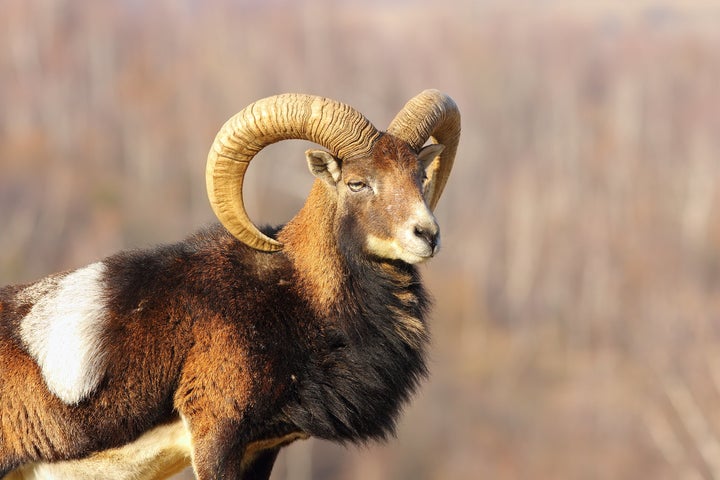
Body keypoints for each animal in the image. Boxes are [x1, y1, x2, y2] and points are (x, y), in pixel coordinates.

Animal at [0, 91, 462, 480]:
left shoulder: (261, 449)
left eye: (420, 177)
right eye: (357, 182)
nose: (427, 234)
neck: (296, 295)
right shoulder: (216, 436)